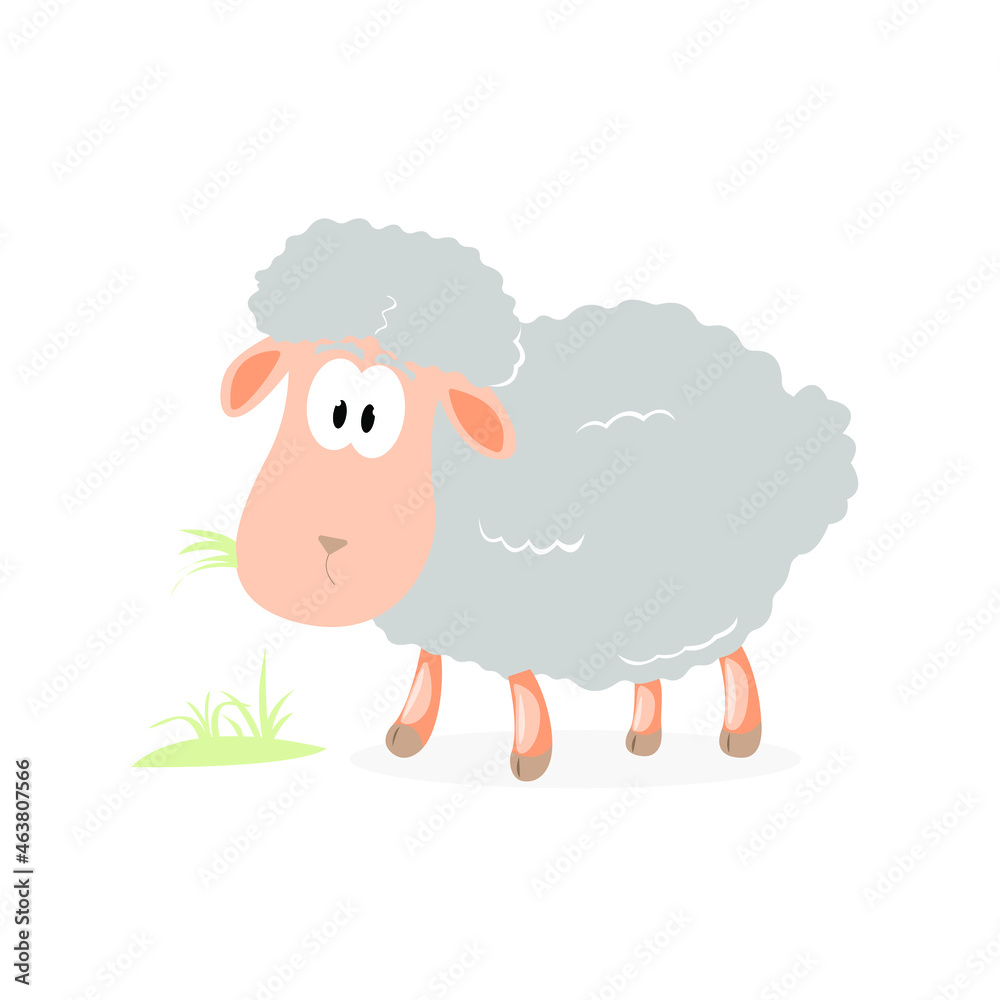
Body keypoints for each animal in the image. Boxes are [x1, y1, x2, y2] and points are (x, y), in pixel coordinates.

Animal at [222, 218, 857, 781]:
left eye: (360, 416)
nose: (325, 544)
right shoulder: (442, 604)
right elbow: (432, 658)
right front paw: (409, 733)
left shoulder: (509, 609)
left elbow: (518, 680)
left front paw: (530, 755)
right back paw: (644, 737)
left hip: (708, 589)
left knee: (733, 651)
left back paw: (739, 735)